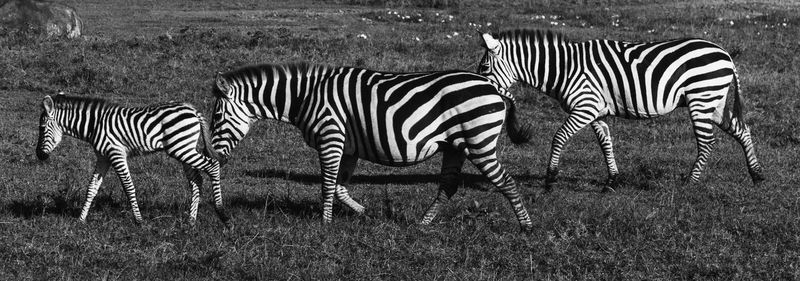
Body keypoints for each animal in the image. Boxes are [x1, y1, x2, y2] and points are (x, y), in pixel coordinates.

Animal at [36, 92, 233, 228]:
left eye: (42, 127)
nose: (39, 155)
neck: (94, 125)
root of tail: (192, 110)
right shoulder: (103, 157)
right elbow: (91, 188)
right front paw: (81, 219)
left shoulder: (116, 153)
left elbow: (128, 187)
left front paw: (139, 221)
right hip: (185, 148)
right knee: (196, 180)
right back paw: (191, 220)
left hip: (181, 148)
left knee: (212, 165)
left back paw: (223, 214)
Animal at [209, 61, 536, 230]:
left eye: (217, 116)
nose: (211, 154)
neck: (305, 97)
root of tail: (493, 86)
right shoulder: (348, 146)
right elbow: (339, 187)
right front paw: (362, 212)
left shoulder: (330, 136)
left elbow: (327, 185)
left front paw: (324, 225)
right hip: (456, 145)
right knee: (448, 186)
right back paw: (422, 224)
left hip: (478, 141)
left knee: (505, 181)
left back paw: (526, 226)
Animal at [478, 29, 764, 189]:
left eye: (484, 68)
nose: (480, 90)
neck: (564, 69)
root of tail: (726, 53)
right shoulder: (595, 111)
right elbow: (606, 143)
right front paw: (612, 180)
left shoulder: (585, 106)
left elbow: (559, 137)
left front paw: (550, 178)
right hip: (713, 102)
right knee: (742, 130)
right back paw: (757, 175)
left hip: (702, 98)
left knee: (706, 142)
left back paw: (691, 183)